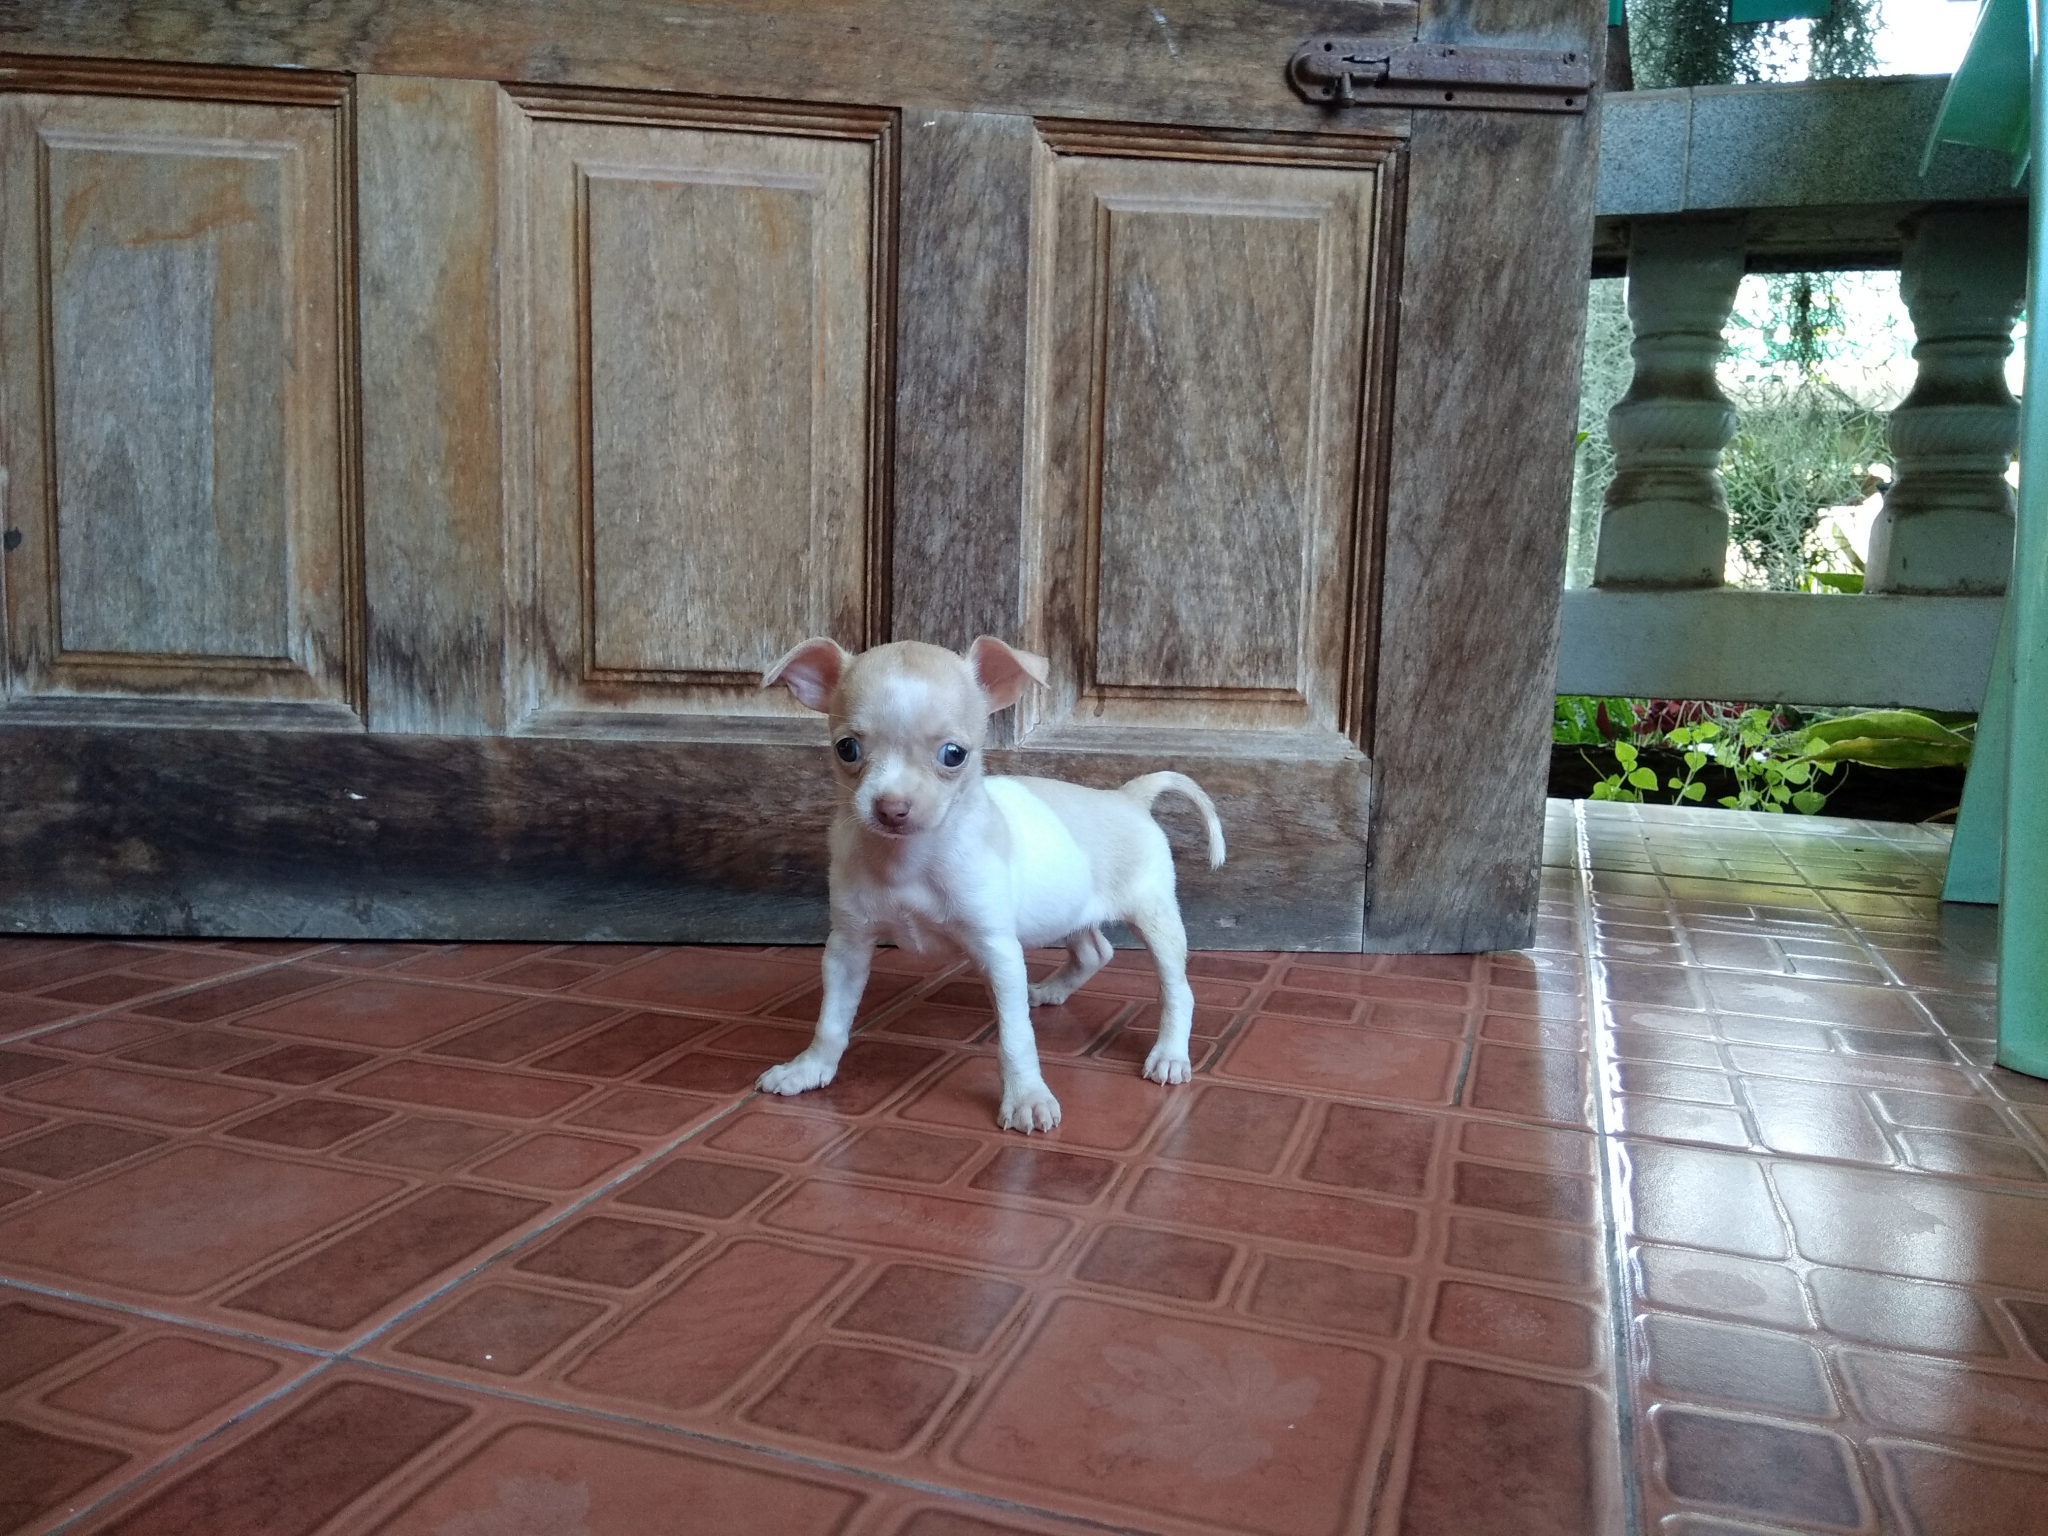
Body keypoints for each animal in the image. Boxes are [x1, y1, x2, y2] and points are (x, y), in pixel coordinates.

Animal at [756, 636, 1225, 1133]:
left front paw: (1026, 1097)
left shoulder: (998, 952)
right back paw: (1051, 991)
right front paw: (809, 1069)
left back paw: (1170, 1054)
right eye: (846, 748)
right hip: (1069, 909)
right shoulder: (848, 945)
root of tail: (1129, 796)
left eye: (954, 754)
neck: (909, 861)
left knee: (1177, 990)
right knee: (1095, 951)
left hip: (1155, 918)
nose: (891, 808)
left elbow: (1015, 1036)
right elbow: (831, 1020)